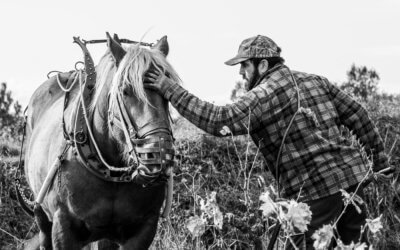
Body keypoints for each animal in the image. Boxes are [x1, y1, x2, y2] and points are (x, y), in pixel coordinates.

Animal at [20, 32, 180, 248]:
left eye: (167, 93)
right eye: (125, 90)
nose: (160, 158)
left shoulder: (144, 229)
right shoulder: (63, 227)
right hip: (42, 217)